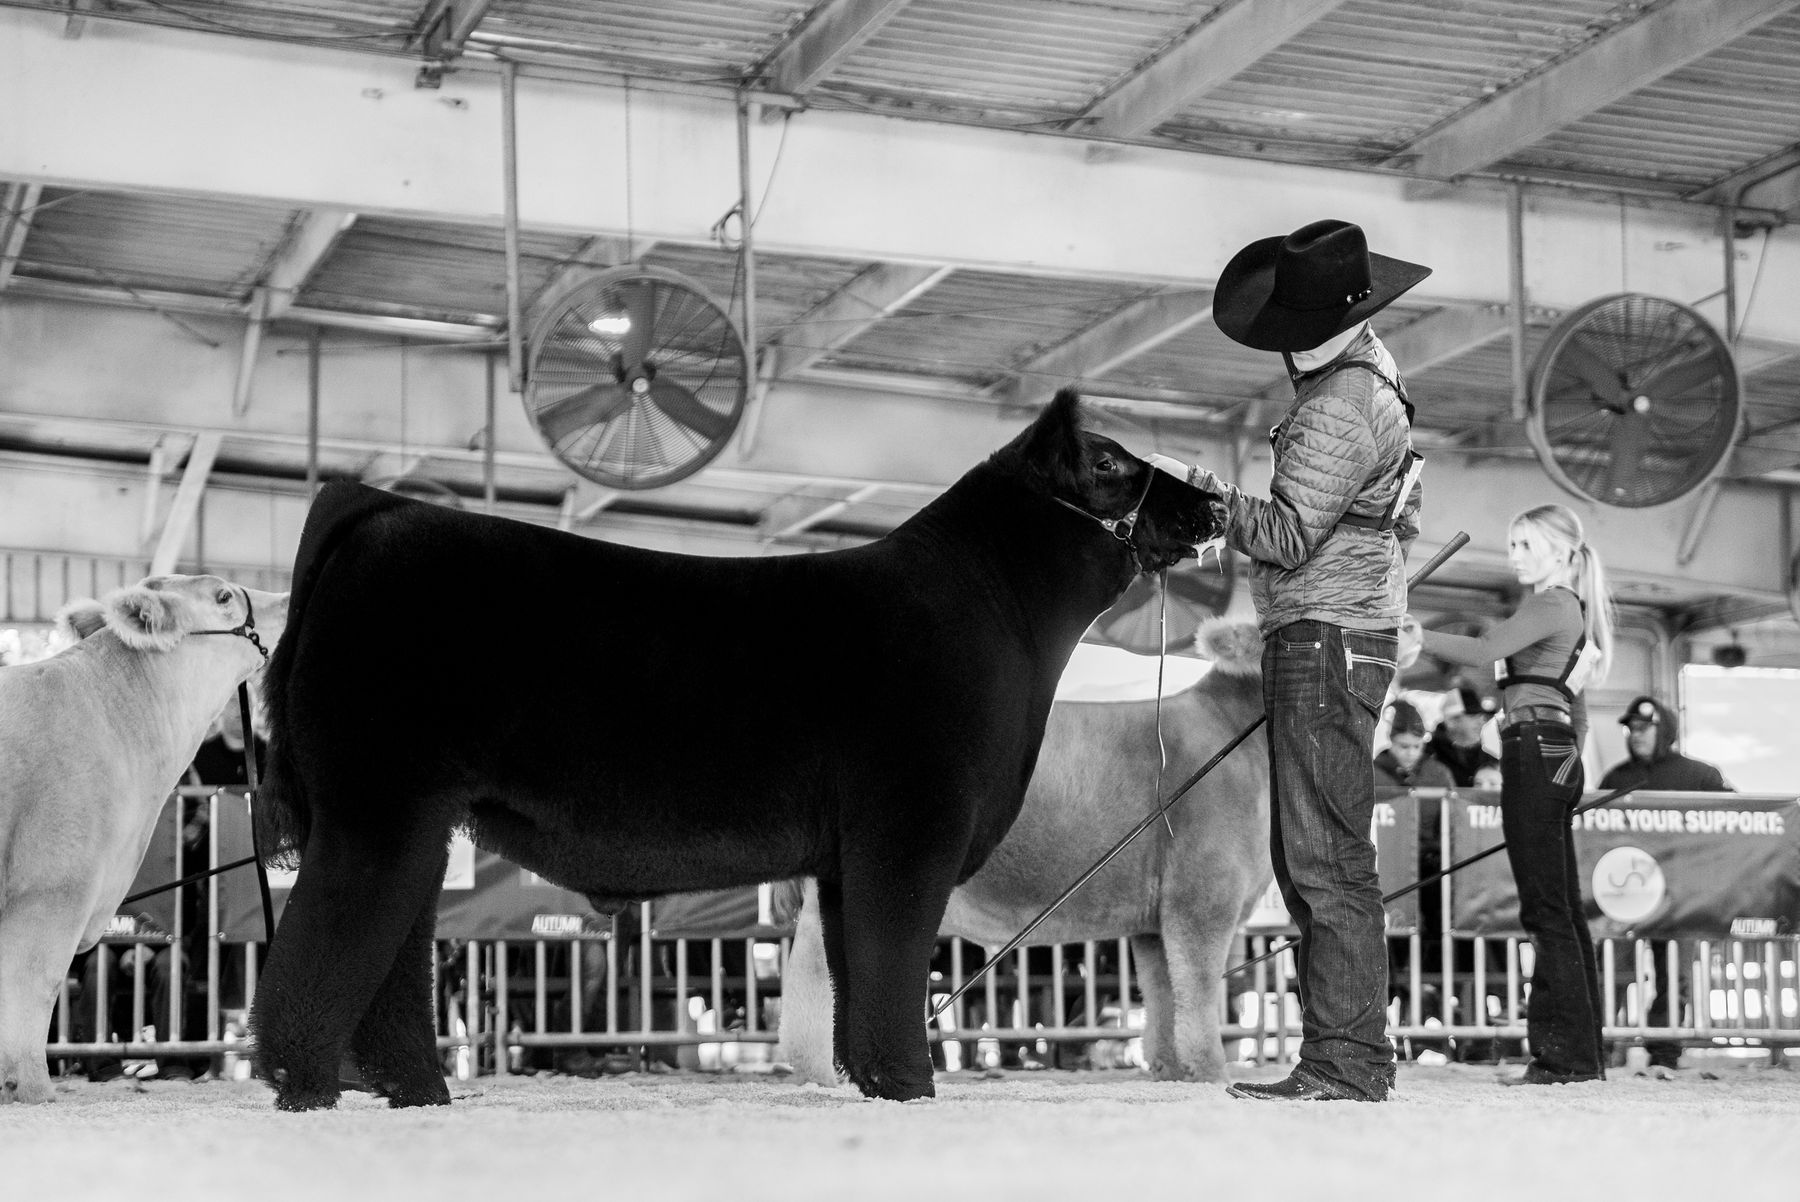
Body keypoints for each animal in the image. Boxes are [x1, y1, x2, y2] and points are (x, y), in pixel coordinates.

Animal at [777, 617, 1270, 1085]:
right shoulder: (1203, 895)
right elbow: (1199, 988)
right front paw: (1210, 1072)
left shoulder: (1154, 919)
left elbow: (1163, 991)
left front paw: (1169, 1069)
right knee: (811, 973)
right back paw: (820, 1073)